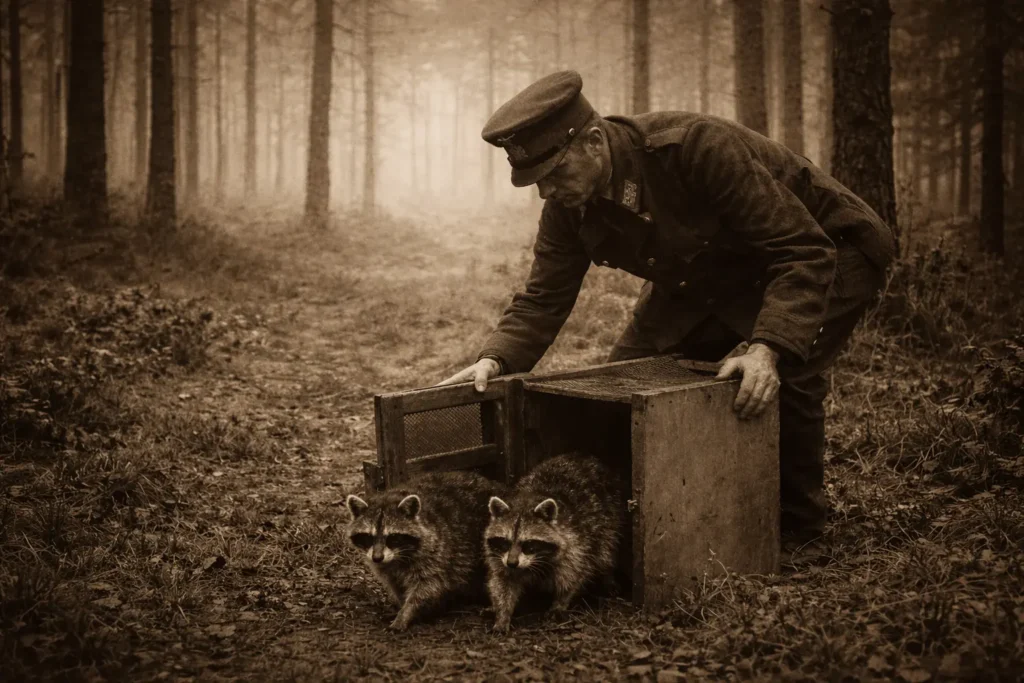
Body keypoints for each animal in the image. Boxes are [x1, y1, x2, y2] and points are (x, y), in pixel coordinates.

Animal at [345, 470, 502, 631]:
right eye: (368, 537)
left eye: (393, 537)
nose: (377, 558)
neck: (396, 558)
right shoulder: (385, 567)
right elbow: (395, 584)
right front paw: (401, 604)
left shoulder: (437, 552)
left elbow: (427, 587)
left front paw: (406, 612)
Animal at [484, 452, 625, 633]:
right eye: (505, 542)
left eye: (528, 544)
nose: (512, 563)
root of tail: (583, 456)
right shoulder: (500, 556)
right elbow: (502, 581)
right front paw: (502, 614)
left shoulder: (576, 543)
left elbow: (573, 575)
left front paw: (560, 602)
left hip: (610, 518)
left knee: (606, 551)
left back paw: (608, 576)